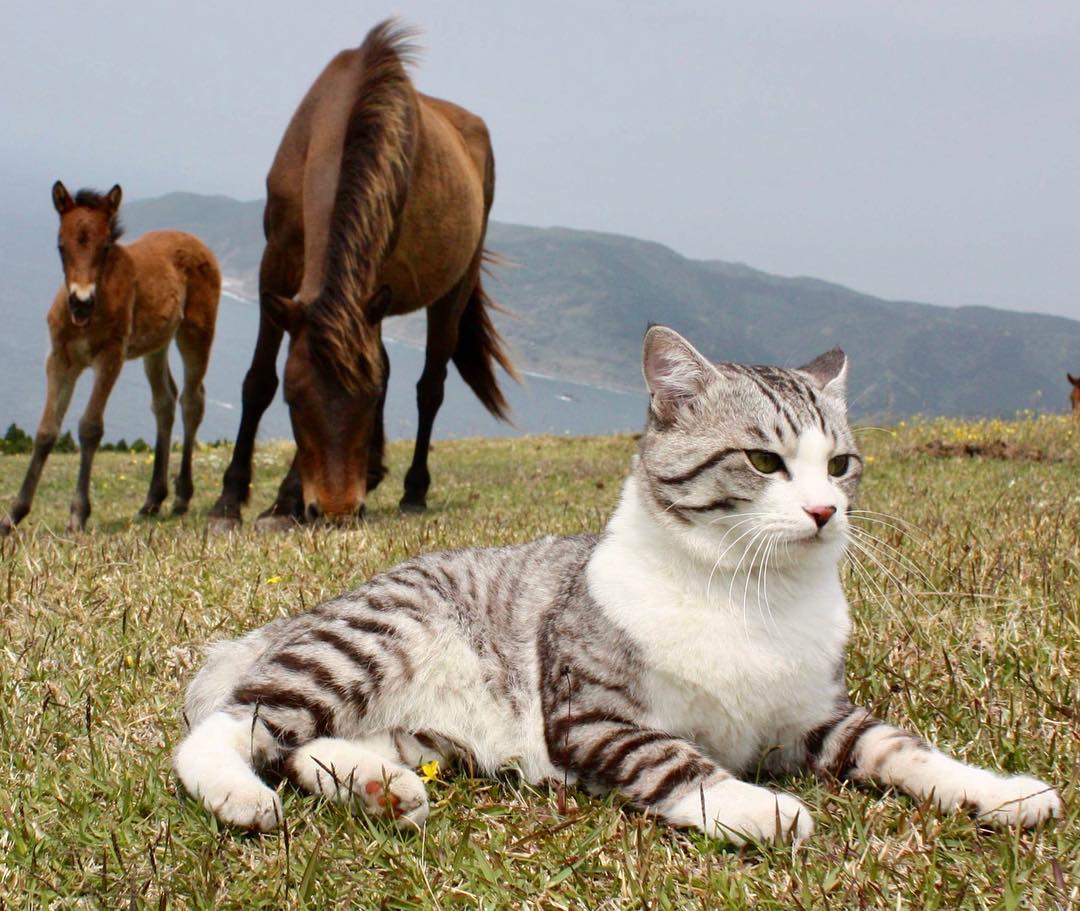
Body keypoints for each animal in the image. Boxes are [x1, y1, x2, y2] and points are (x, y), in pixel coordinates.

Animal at [0, 185, 221, 541]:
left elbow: (90, 427)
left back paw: (182, 497)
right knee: (164, 401)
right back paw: (152, 501)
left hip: (196, 332)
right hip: (155, 346)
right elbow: (46, 430)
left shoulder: (110, 357)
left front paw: (77, 515)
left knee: (191, 401)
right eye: (60, 245)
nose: (80, 301)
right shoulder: (60, 360)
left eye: (104, 248)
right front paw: (13, 516)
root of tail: (193, 239)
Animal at [177, 325, 1062, 841]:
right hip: (362, 646)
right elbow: (675, 760)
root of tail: (295, 618)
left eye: (840, 463)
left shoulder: (815, 715)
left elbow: (902, 747)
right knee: (229, 727)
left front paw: (999, 792)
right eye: (764, 459)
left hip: (428, 735)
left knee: (307, 746)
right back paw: (241, 794)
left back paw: (375, 786)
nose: (825, 510)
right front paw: (757, 804)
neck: (752, 595)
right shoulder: (594, 716)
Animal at [209, 19, 518, 533]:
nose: (336, 511)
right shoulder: (276, 260)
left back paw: (412, 491)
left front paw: (285, 501)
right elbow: (258, 381)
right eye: (294, 401)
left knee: (430, 387)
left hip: (454, 287)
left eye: (370, 402)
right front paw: (229, 501)